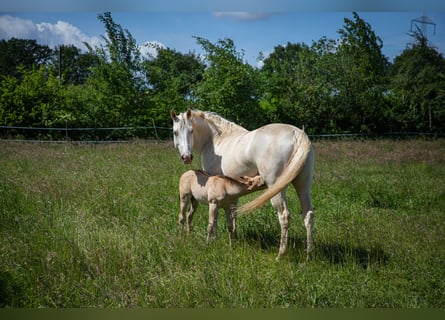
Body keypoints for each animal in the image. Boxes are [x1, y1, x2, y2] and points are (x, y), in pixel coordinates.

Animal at [172, 109, 314, 262]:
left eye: (191, 130)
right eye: (175, 132)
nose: (187, 157)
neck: (215, 139)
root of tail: (296, 133)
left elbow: (215, 220)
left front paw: (214, 241)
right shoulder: (232, 192)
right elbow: (233, 214)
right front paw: (233, 240)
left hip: (276, 189)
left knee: (284, 216)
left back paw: (280, 255)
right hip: (303, 186)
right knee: (308, 215)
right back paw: (308, 255)